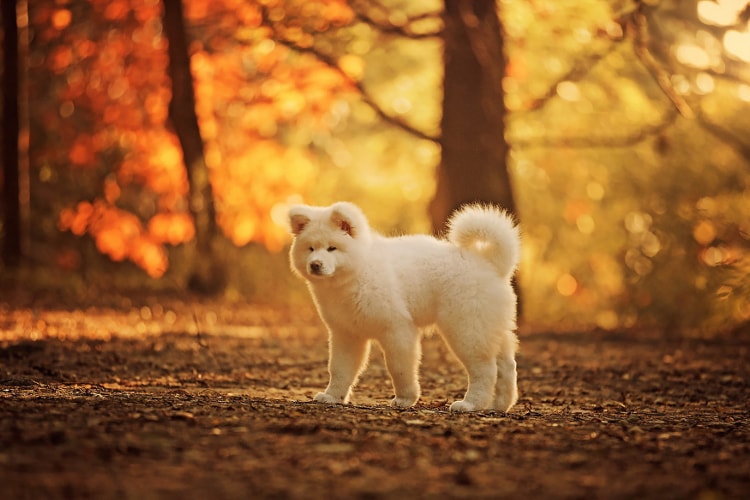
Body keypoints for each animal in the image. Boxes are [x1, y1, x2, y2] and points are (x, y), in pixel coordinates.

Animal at [288, 201, 524, 412]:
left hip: (467, 329)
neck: (358, 272)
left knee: (485, 370)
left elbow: (399, 368)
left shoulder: (397, 329)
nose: (315, 264)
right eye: (310, 248)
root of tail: (490, 264)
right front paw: (332, 396)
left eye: (332, 248)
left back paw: (470, 404)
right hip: (491, 328)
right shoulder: (346, 334)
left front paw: (405, 399)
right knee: (507, 367)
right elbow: (339, 369)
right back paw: (498, 406)